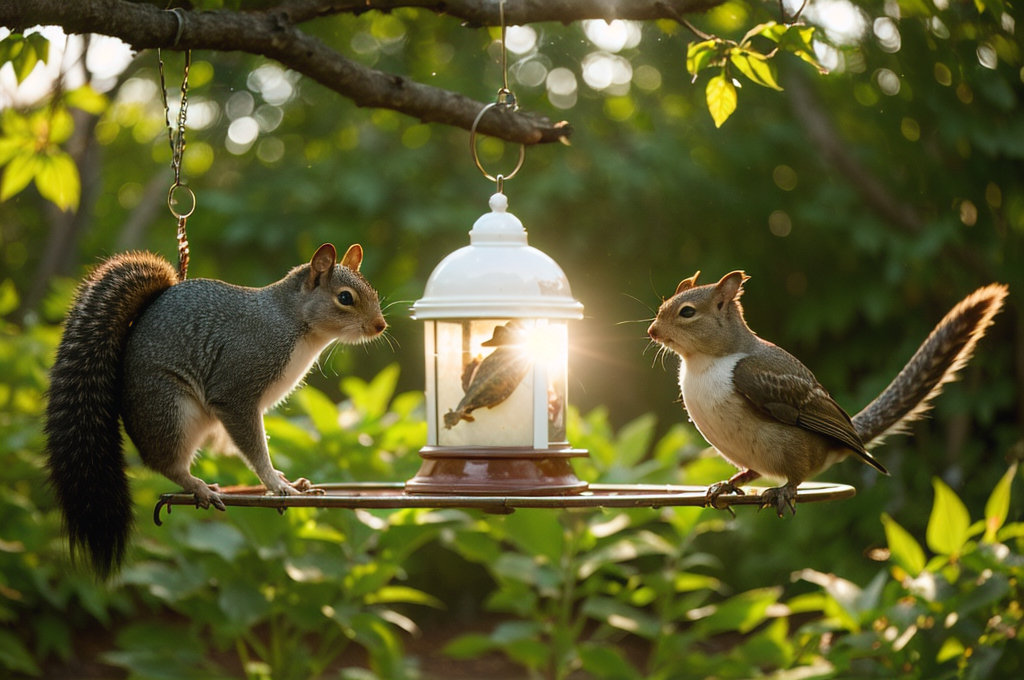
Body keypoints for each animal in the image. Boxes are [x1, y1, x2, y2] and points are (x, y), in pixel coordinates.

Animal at [43, 241, 387, 577]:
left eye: (373, 291)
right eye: (345, 297)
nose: (380, 325)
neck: (296, 322)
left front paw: (285, 482)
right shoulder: (237, 387)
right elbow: (254, 447)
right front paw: (277, 486)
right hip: (170, 410)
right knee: (167, 464)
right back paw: (199, 487)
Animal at [647, 270, 1007, 516]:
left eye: (688, 312)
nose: (652, 331)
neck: (705, 364)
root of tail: (851, 434)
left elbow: (790, 476)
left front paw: (781, 491)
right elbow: (745, 474)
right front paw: (724, 484)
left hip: (799, 448)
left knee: (797, 475)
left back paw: (783, 491)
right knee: (753, 470)